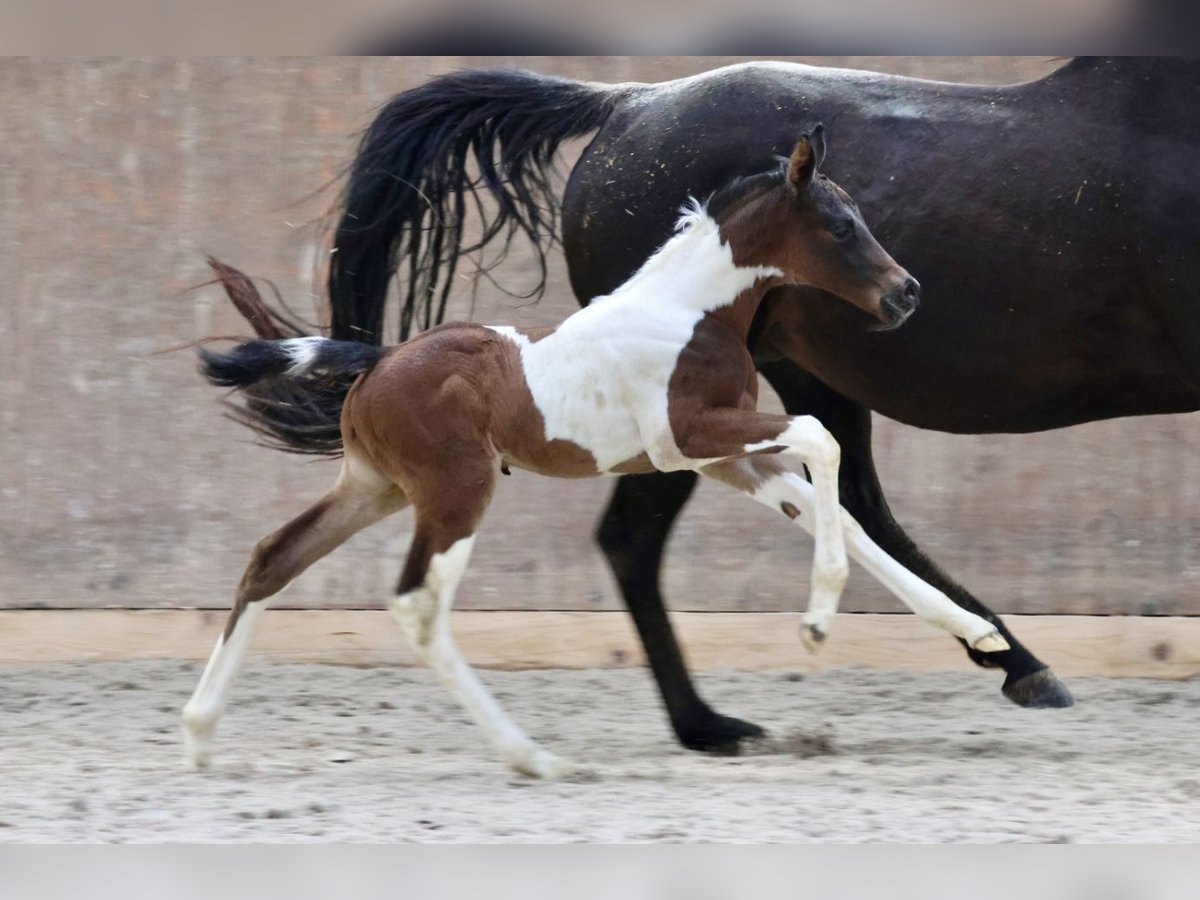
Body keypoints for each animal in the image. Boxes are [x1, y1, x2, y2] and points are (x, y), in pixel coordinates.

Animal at [187, 130, 1008, 777]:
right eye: (841, 225)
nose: (906, 294)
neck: (689, 313)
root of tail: (379, 359)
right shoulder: (689, 438)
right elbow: (820, 435)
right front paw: (815, 624)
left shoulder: (725, 459)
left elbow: (834, 510)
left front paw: (981, 634)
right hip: (456, 492)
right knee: (418, 603)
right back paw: (533, 756)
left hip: (374, 487)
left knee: (273, 558)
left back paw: (198, 735)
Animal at [321, 54, 1200, 753]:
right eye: (842, 224)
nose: (908, 293)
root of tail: (628, 103)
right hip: (706, 416)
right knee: (637, 539)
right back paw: (711, 725)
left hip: (806, 379)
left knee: (849, 504)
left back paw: (1003, 656)